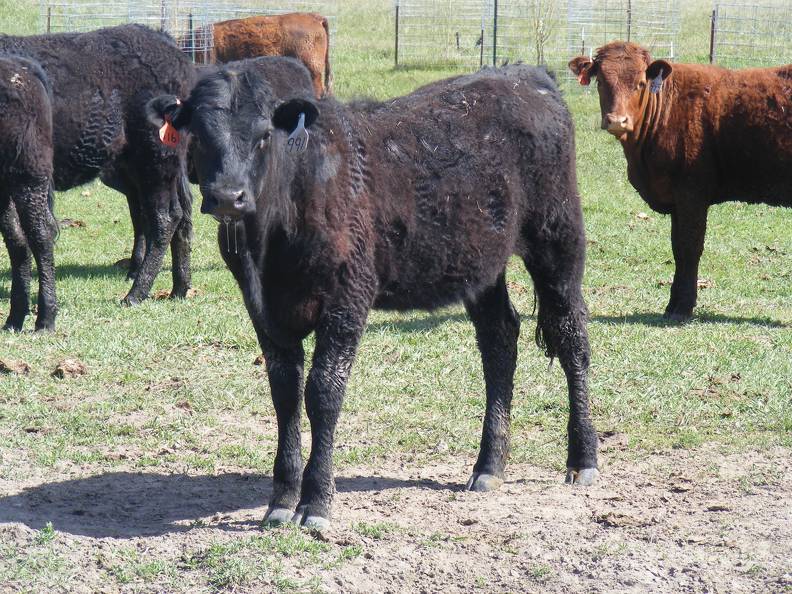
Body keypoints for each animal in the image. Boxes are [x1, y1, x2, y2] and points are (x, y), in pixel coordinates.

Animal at [0, 24, 196, 316]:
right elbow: (16, 237)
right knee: (179, 217)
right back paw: (178, 289)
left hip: (155, 159)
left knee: (166, 218)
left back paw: (135, 294)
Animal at [147, 56, 600, 528]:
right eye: (199, 134)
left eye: (263, 135)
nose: (227, 197)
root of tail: (526, 74)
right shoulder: (264, 310)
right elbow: (285, 394)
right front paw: (281, 499)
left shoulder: (349, 296)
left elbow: (323, 392)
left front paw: (315, 502)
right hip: (480, 263)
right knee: (499, 340)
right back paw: (489, 465)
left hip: (558, 237)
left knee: (571, 336)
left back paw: (582, 459)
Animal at [568, 42, 792, 322]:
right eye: (600, 82)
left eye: (640, 83)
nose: (617, 121)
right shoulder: (675, 199)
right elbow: (676, 248)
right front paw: (672, 304)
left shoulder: (691, 192)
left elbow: (689, 246)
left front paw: (683, 308)